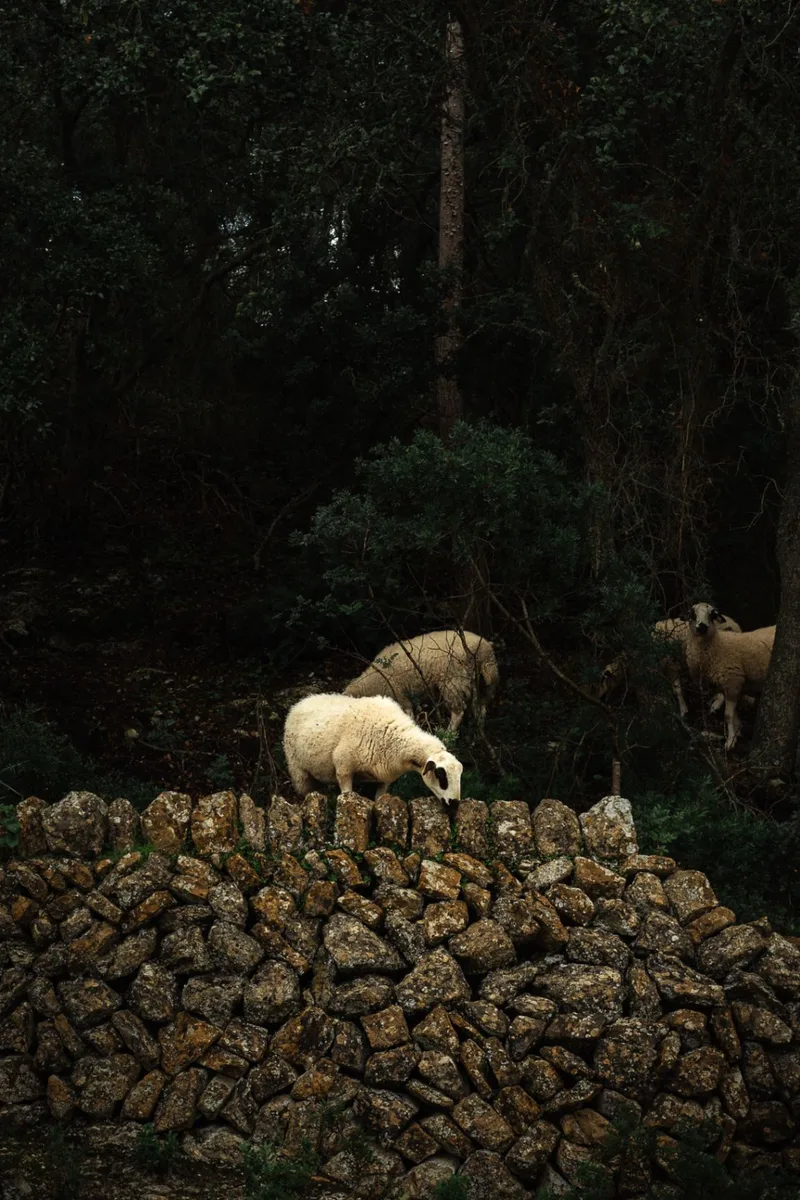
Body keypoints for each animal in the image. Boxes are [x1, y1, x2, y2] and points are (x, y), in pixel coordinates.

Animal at [282, 692, 463, 804]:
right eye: (440, 775)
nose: (455, 804)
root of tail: (303, 701)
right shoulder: (344, 767)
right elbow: (347, 796)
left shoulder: (384, 778)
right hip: (298, 770)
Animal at [343, 629, 499, 733]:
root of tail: (485, 649)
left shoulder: (400, 695)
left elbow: (408, 717)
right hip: (480, 683)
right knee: (481, 708)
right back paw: (479, 730)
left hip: (454, 681)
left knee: (458, 712)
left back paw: (448, 734)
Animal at [598, 608, 741, 717]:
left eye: (603, 678)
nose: (602, 699)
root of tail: (736, 626)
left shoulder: (671, 665)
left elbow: (676, 689)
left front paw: (683, 710)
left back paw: (716, 705)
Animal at [683, 602, 775, 750]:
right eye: (692, 613)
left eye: (712, 614)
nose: (702, 627)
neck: (718, 644)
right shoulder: (727, 687)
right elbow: (734, 716)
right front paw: (737, 734)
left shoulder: (733, 681)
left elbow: (727, 715)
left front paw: (730, 742)